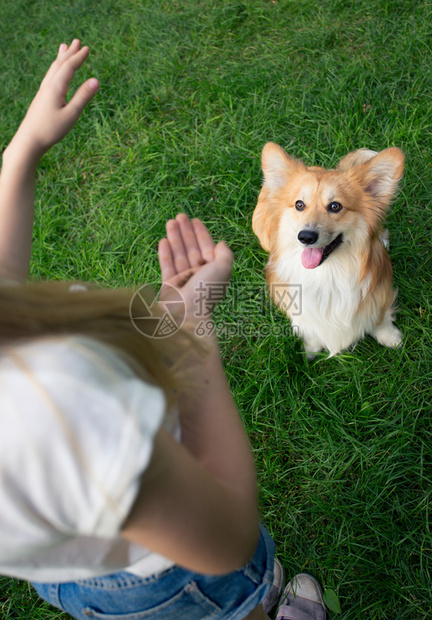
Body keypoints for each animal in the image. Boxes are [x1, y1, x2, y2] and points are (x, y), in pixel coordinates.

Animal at [253, 143, 404, 358]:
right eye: (299, 204)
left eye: (335, 206)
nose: (306, 237)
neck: (328, 273)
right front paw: (310, 348)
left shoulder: (379, 292)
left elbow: (380, 318)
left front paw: (391, 338)